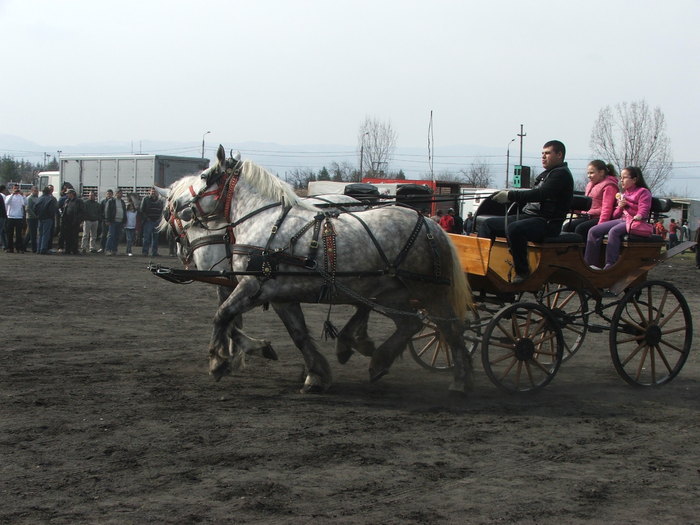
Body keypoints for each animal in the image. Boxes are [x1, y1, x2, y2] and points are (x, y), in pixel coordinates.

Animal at [166, 146, 474, 392]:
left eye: (204, 177)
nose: (178, 206)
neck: (264, 222)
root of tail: (431, 224)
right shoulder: (279, 295)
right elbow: (299, 335)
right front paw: (316, 375)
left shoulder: (251, 286)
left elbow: (222, 315)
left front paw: (218, 362)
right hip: (392, 293)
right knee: (410, 323)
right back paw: (377, 361)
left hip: (429, 292)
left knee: (450, 328)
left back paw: (460, 380)